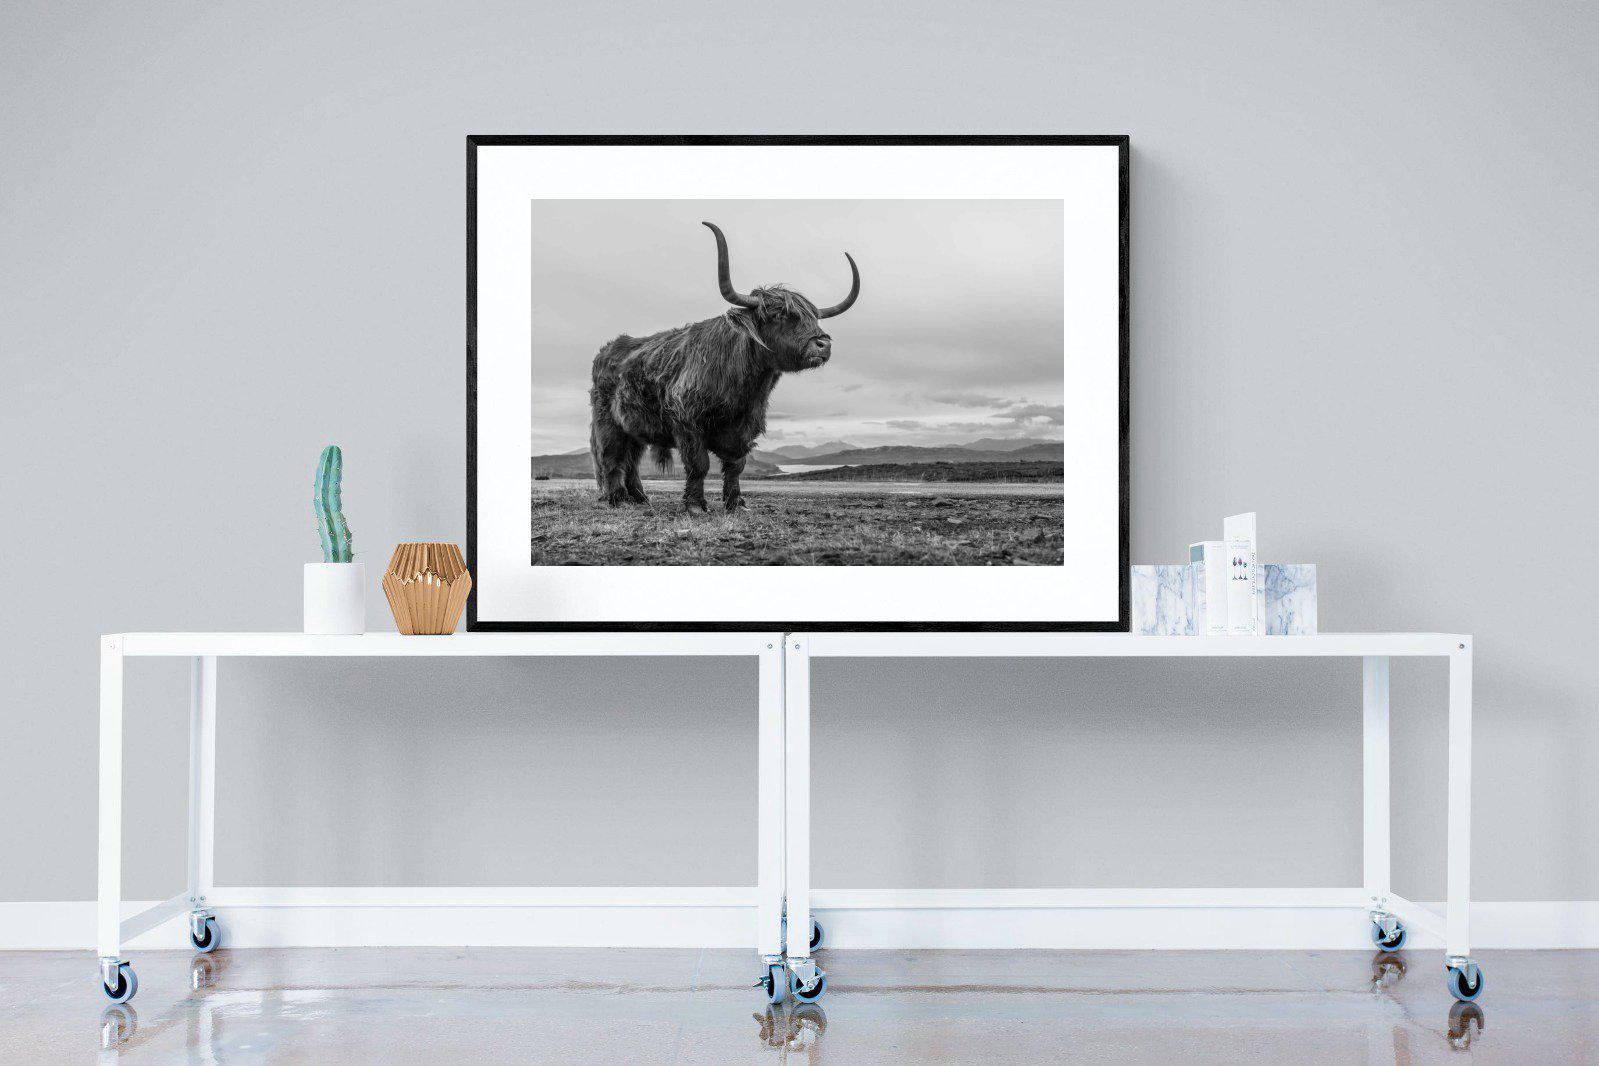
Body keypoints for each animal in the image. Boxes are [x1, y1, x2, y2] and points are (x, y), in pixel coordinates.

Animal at [588, 221, 859, 512]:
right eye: (779, 314)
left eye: (814, 317)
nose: (822, 344)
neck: (743, 389)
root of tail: (607, 350)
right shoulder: (687, 422)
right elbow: (699, 465)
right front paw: (695, 505)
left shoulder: (744, 428)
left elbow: (735, 466)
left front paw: (736, 503)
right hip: (608, 423)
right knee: (612, 456)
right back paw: (616, 498)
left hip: (634, 427)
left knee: (632, 460)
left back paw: (639, 497)